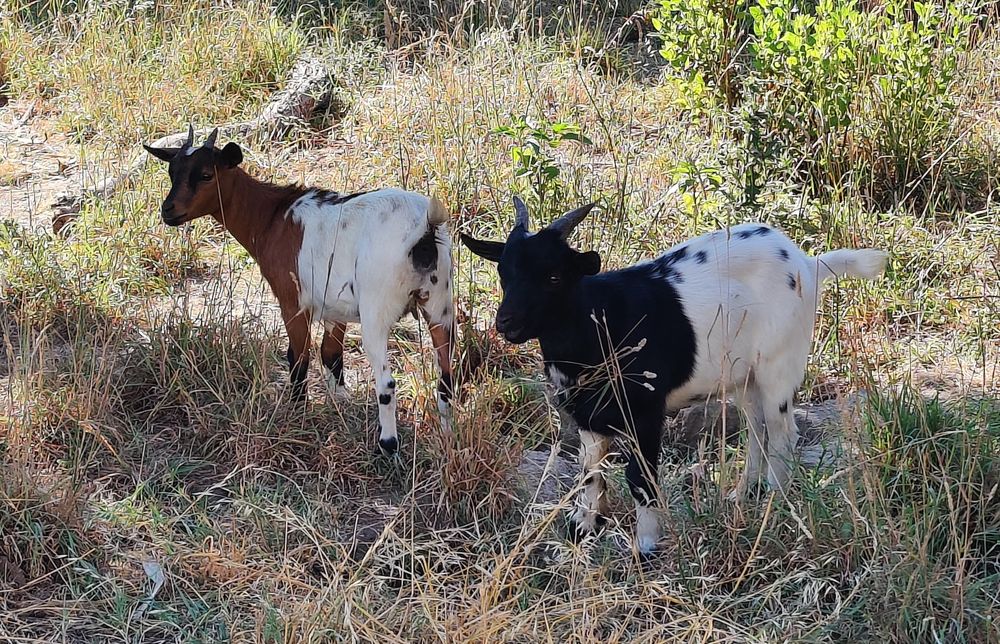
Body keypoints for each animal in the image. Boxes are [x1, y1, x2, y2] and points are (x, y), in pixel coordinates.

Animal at [144, 126, 454, 456]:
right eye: (171, 171)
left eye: (205, 175)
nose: (168, 210)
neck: (272, 218)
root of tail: (424, 231)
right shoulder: (335, 305)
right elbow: (331, 354)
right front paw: (339, 404)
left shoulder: (292, 300)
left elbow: (298, 357)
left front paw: (297, 412)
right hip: (440, 304)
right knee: (446, 375)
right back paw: (446, 434)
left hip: (376, 310)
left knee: (387, 383)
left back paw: (387, 446)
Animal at [461, 196, 887, 553]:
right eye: (503, 273)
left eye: (554, 277)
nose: (506, 322)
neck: (596, 320)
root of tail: (807, 263)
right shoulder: (588, 417)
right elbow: (589, 474)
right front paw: (582, 529)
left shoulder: (646, 414)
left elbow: (641, 478)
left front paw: (646, 544)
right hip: (742, 376)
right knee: (757, 430)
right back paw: (742, 496)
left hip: (778, 364)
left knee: (783, 436)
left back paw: (775, 505)